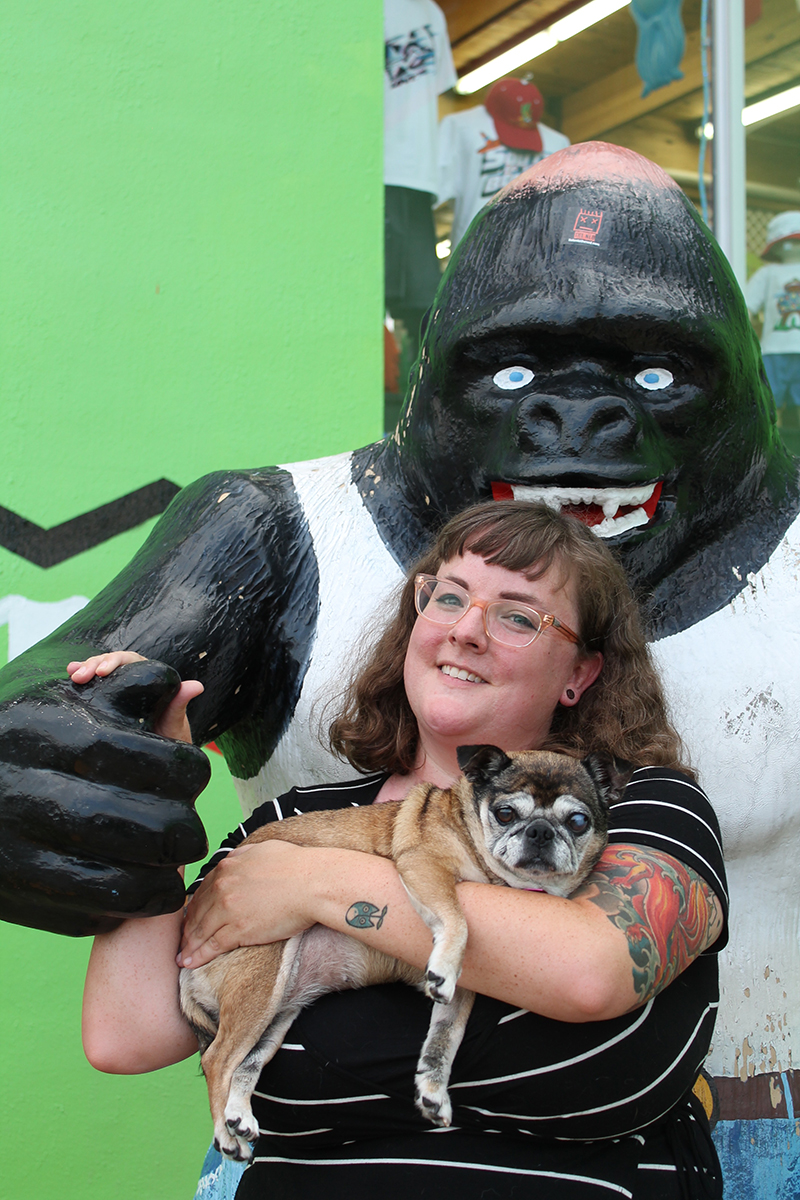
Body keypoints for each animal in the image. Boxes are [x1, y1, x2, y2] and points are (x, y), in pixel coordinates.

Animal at [179, 745, 632, 1161]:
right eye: (505, 814)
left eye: (578, 822)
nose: (540, 832)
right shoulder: (424, 866)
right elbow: (457, 919)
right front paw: (445, 961)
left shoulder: (460, 998)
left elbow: (443, 1039)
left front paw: (433, 1089)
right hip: (264, 976)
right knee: (218, 1060)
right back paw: (225, 1134)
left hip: (278, 1012)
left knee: (246, 1063)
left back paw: (239, 1116)